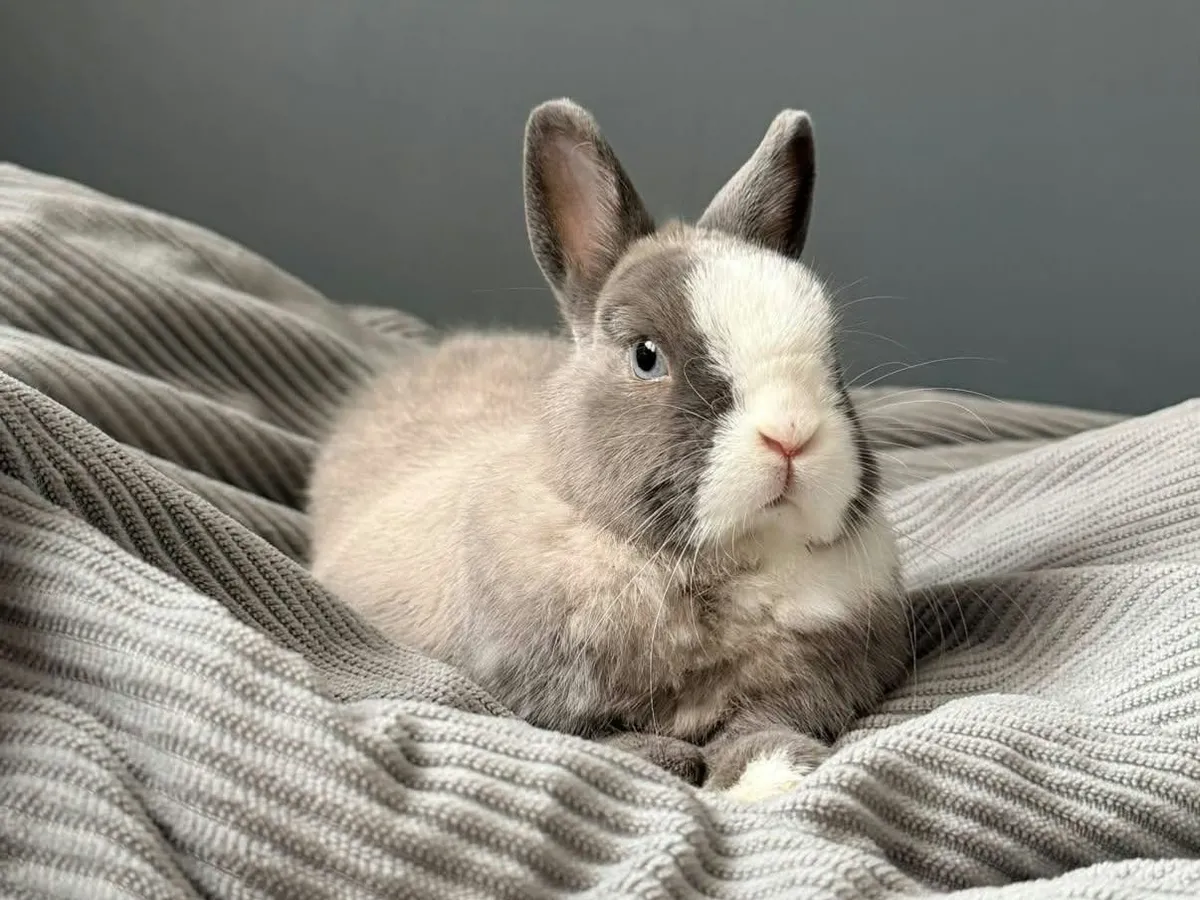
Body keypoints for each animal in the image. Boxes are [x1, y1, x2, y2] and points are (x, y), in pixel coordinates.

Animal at [307, 98, 910, 802]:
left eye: (832, 359)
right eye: (646, 357)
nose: (791, 434)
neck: (704, 572)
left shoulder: (810, 684)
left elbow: (764, 724)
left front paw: (772, 777)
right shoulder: (532, 695)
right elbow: (605, 739)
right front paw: (666, 762)